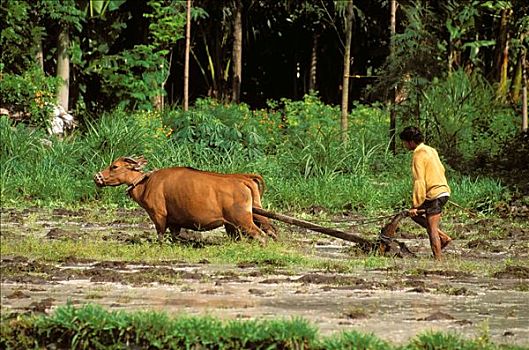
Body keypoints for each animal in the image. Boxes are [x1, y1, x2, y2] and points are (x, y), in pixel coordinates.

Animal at [94, 157, 272, 245]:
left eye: (114, 166)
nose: (96, 177)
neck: (147, 183)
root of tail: (243, 179)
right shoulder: (174, 222)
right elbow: (174, 237)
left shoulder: (159, 216)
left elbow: (160, 236)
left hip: (243, 220)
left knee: (262, 235)